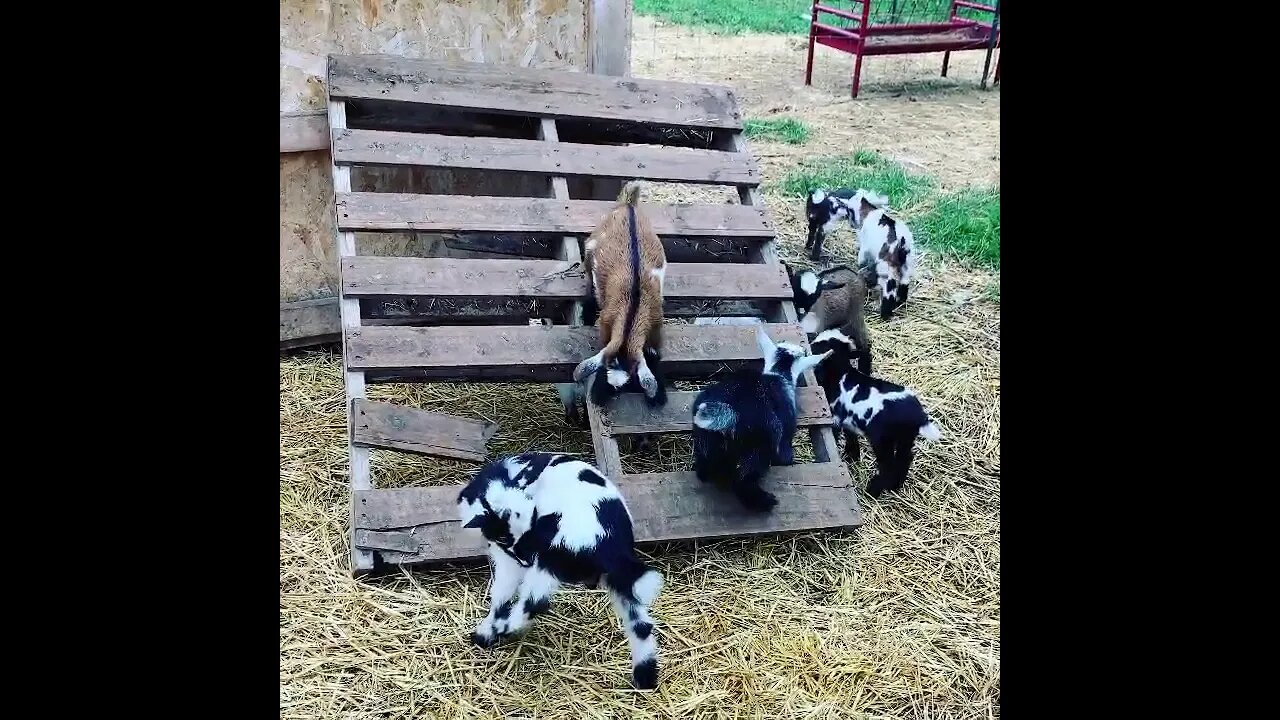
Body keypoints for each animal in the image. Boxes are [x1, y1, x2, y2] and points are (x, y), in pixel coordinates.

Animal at [458, 450, 660, 686]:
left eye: (531, 525)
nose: (527, 559)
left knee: (535, 602)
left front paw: (485, 633)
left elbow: (501, 592)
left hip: (552, 558)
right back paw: (644, 678)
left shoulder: (511, 559)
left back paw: (506, 628)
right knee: (640, 624)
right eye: (504, 535)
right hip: (621, 581)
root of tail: (612, 547)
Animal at [573, 179, 670, 407]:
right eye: (603, 371)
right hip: (590, 252)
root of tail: (628, 205)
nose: (598, 399)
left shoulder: (655, 326)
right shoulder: (607, 323)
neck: (631, 314)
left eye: (628, 383)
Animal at [691, 326, 829, 509]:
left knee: (704, 467)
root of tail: (730, 412)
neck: (779, 373)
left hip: (705, 439)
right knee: (744, 482)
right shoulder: (785, 435)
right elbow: (785, 455)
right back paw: (766, 501)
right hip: (758, 449)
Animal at [808, 327, 942, 497]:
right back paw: (895, 486)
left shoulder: (836, 416)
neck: (840, 373)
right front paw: (852, 456)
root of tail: (917, 415)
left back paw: (873, 490)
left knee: (888, 465)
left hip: (883, 439)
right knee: (905, 458)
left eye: (819, 346)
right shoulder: (849, 420)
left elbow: (837, 435)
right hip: (905, 437)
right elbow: (851, 436)